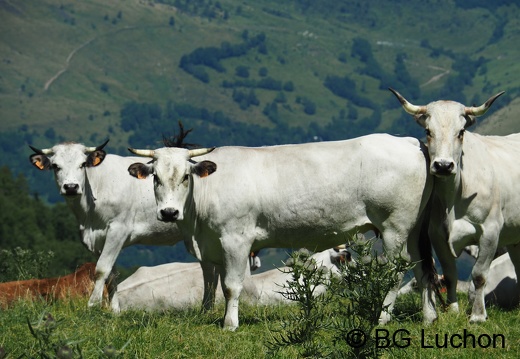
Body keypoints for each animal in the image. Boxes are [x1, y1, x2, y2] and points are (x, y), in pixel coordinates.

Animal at [29, 141, 219, 312]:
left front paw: (93, 305)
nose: (70, 187)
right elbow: (111, 274)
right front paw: (114, 311)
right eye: (55, 166)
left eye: (82, 164)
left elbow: (101, 269)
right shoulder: (99, 239)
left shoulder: (118, 230)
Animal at [390, 88, 520, 324]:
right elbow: (450, 275)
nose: (443, 165)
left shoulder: (490, 232)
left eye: (461, 132)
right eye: (428, 131)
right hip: (515, 238)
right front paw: (453, 310)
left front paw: (477, 316)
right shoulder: (438, 235)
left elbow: (479, 275)